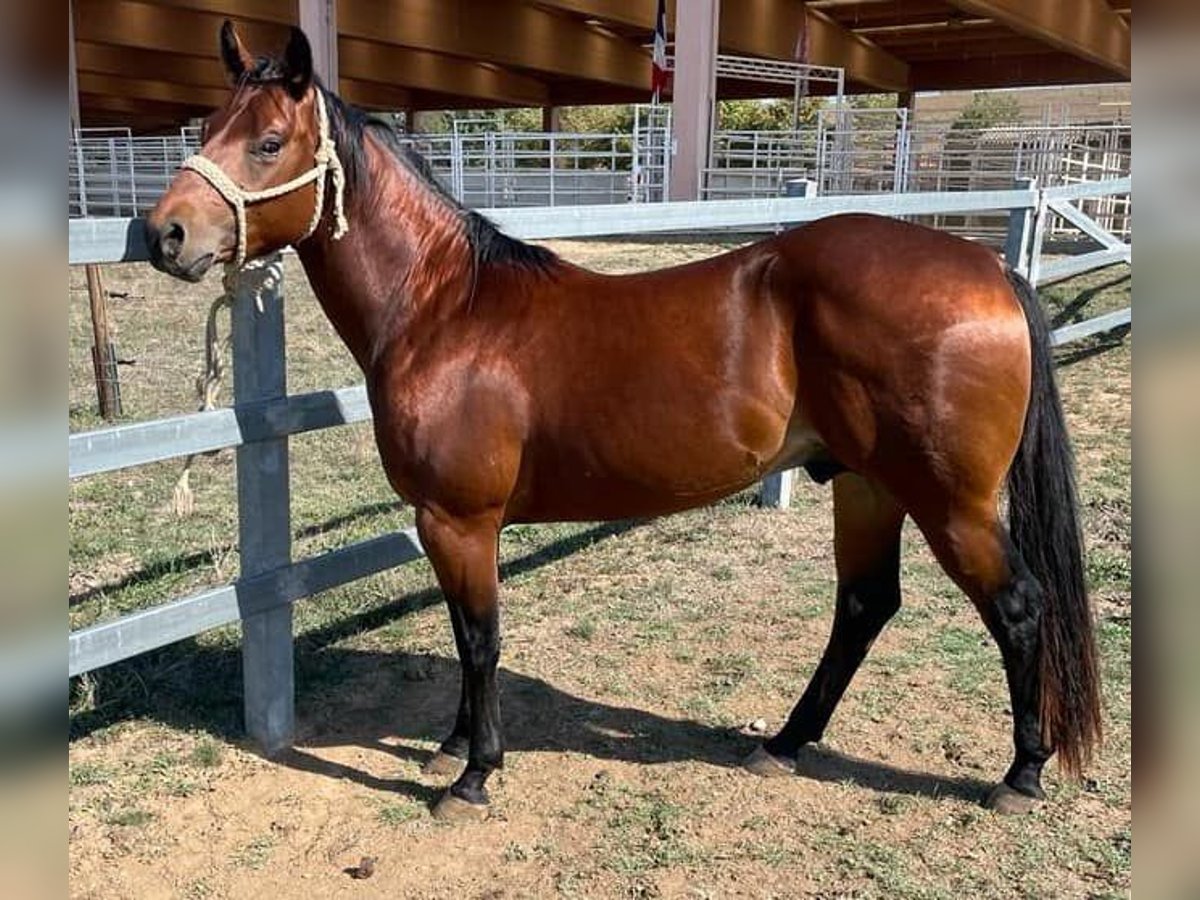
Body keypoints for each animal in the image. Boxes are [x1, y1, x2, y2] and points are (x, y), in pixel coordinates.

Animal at [145, 21, 1099, 825]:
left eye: (268, 142)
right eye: (209, 124)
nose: (164, 234)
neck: (445, 308)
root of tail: (988, 268)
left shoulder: (460, 519)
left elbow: (482, 638)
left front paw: (474, 774)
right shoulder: (444, 524)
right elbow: (462, 634)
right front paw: (453, 743)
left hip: (951, 503)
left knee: (1019, 607)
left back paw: (1020, 775)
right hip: (866, 485)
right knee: (866, 604)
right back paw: (784, 743)